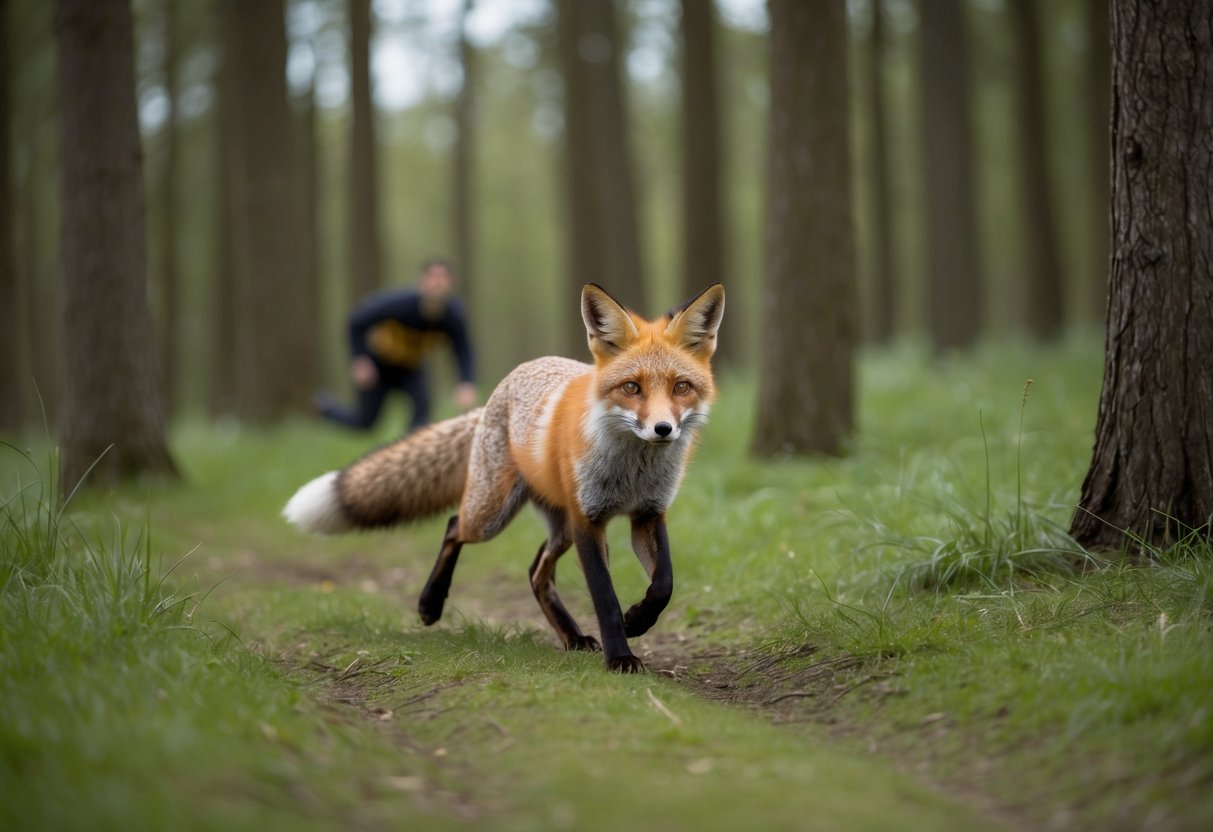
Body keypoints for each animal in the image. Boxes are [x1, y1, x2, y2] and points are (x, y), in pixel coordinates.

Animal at [283, 282, 725, 672]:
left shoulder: (647, 514)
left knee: (535, 571)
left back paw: (572, 636)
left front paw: (638, 621)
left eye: (681, 387)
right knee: (453, 526)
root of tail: (503, 386)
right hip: (494, 514)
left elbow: (664, 584)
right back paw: (430, 604)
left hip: (559, 527)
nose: (663, 429)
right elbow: (605, 597)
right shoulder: (588, 520)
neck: (632, 472)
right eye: (632, 387)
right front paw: (619, 656)